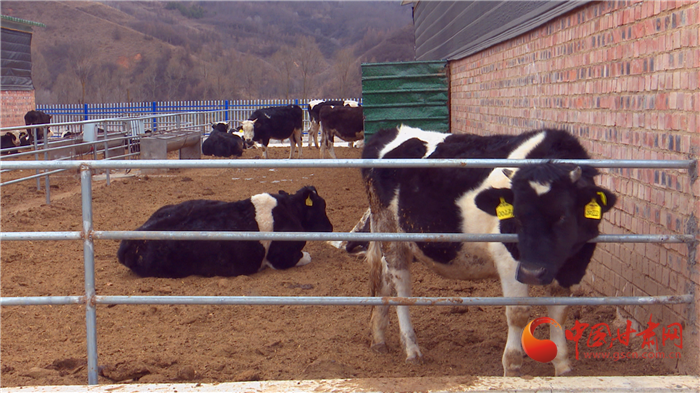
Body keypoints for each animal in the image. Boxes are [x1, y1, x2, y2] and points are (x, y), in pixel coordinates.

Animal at [117, 185, 334, 278]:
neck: (289, 210)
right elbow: (306, 257)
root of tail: (129, 242)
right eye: (321, 205)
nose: (331, 228)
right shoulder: (282, 258)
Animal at [358, 125, 616, 376]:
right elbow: (519, 312)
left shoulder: (574, 263)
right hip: (391, 232)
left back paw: (379, 339)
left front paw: (563, 366)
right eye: (516, 216)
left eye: (562, 215)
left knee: (384, 279)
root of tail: (391, 131)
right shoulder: (510, 260)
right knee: (400, 289)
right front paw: (512, 366)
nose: (533, 272)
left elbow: (559, 312)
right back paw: (411, 349)